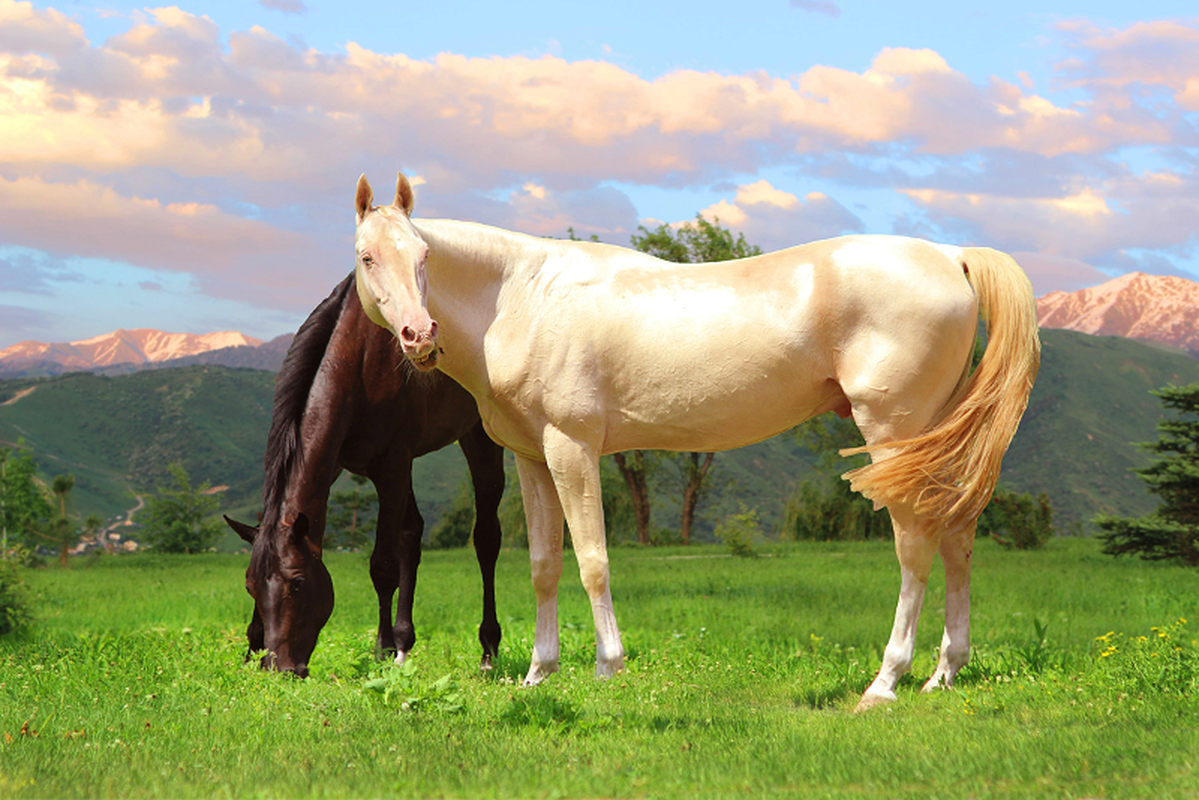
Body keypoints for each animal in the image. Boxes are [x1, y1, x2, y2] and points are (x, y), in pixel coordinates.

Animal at [226, 273, 503, 676]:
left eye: (298, 583)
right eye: (250, 587)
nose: (280, 667)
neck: (358, 358)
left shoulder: (392, 465)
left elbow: (383, 566)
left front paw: (383, 649)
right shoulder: (338, 463)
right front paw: (251, 648)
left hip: (478, 434)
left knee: (486, 538)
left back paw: (487, 649)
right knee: (413, 533)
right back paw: (406, 642)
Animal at [350, 172, 1035, 710]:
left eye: (423, 255)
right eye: (367, 257)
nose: (419, 336)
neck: (523, 296)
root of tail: (951, 255)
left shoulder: (572, 448)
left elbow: (593, 560)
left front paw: (608, 666)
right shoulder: (531, 458)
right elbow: (545, 565)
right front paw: (539, 674)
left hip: (894, 432)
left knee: (915, 543)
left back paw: (887, 681)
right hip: (933, 436)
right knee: (957, 536)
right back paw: (944, 673)